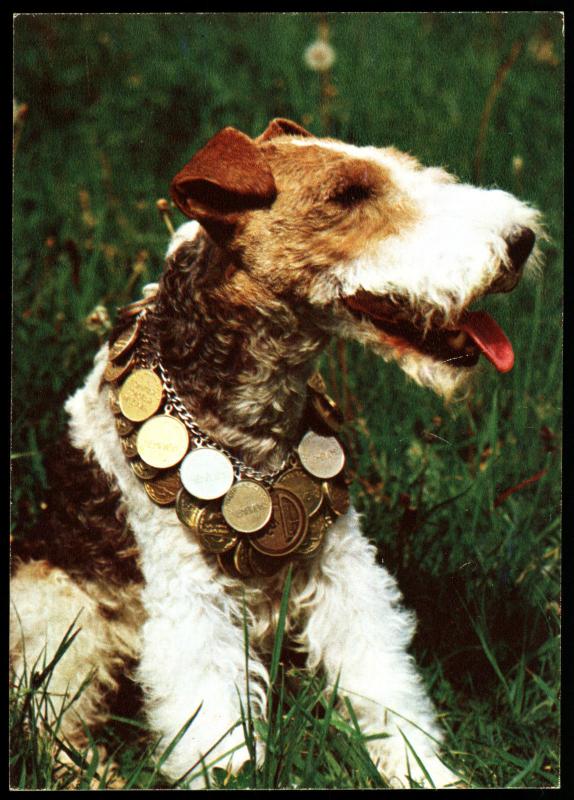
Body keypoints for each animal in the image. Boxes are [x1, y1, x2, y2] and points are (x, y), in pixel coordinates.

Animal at [10, 119, 544, 788]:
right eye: (349, 194)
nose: (522, 240)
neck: (252, 430)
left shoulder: (344, 570)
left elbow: (383, 686)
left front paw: (423, 771)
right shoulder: (193, 599)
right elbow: (213, 725)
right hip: (59, 615)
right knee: (51, 719)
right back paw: (95, 772)